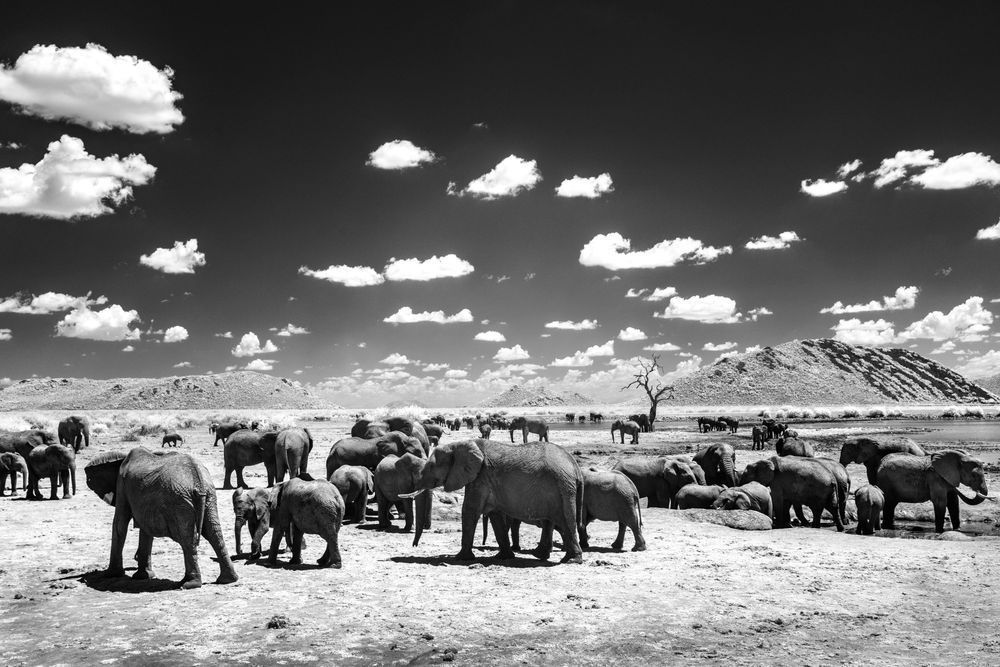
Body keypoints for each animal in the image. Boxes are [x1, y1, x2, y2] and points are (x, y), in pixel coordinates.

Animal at [85, 448, 238, 588]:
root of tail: (198, 479)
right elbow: (145, 530)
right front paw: (143, 576)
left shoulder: (122, 485)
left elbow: (119, 523)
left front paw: (111, 575)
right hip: (207, 496)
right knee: (214, 533)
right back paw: (227, 579)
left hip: (179, 502)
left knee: (187, 539)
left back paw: (190, 584)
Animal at [405, 439, 584, 563]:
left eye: (431, 467)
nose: (414, 546)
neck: (462, 444)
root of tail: (575, 467)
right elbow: (494, 515)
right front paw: (504, 557)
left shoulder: (480, 477)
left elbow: (470, 511)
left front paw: (461, 558)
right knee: (554, 521)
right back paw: (543, 555)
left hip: (562, 488)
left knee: (565, 520)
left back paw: (571, 560)